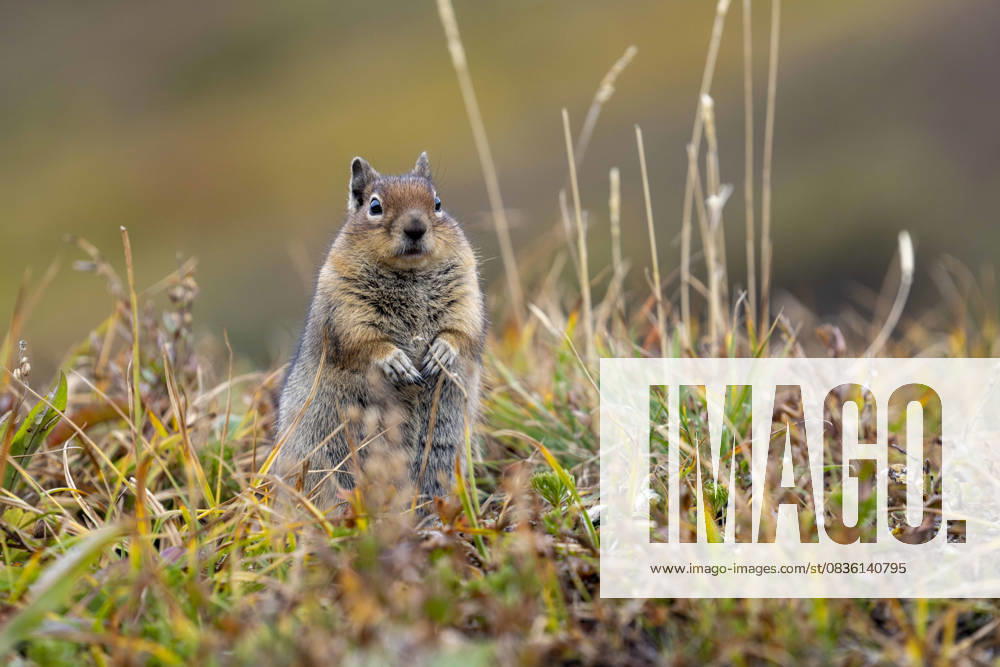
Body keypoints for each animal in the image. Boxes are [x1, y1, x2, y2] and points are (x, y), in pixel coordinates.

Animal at [275, 152, 486, 511]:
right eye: (375, 206)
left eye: (438, 203)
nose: (416, 227)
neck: (411, 274)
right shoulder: (346, 305)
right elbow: (362, 339)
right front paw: (396, 362)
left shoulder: (465, 290)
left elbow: (463, 327)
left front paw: (441, 353)